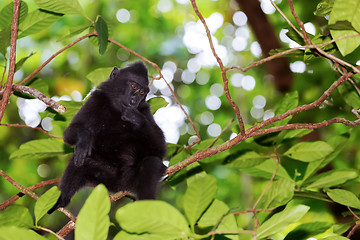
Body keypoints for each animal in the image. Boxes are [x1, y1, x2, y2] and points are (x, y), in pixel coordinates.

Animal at [47, 62, 167, 214]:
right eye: (134, 86)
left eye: (142, 92)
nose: (135, 100)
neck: (117, 107)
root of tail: (122, 184)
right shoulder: (96, 99)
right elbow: (70, 133)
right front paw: (85, 140)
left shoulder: (145, 109)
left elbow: (159, 149)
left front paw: (135, 118)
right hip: (105, 178)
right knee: (81, 160)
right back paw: (60, 200)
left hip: (133, 176)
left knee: (150, 164)